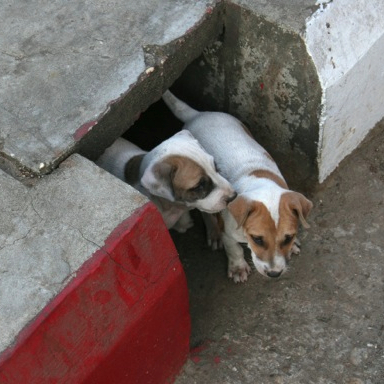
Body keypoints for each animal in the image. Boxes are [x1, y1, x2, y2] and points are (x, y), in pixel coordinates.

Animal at [164, 90, 314, 282]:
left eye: (288, 238)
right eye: (257, 239)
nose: (274, 274)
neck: (260, 184)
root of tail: (197, 115)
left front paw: (293, 245)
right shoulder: (228, 233)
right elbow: (234, 249)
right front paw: (237, 268)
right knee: (207, 213)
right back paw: (213, 231)